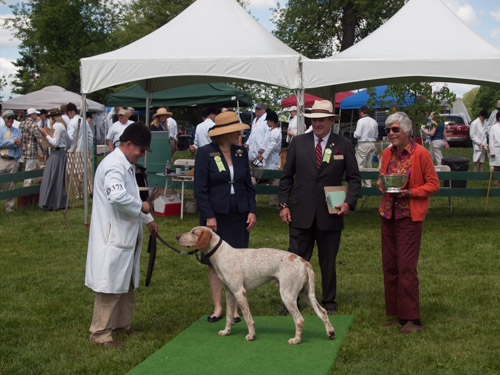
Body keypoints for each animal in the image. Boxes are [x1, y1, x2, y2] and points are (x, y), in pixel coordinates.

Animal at [177, 226, 336, 346]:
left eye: (193, 232)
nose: (177, 236)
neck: (222, 254)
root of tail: (303, 261)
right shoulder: (229, 293)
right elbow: (229, 316)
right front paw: (226, 332)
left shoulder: (239, 292)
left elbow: (248, 318)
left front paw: (251, 336)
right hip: (305, 294)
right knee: (323, 312)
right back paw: (330, 332)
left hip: (288, 296)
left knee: (299, 320)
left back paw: (296, 340)